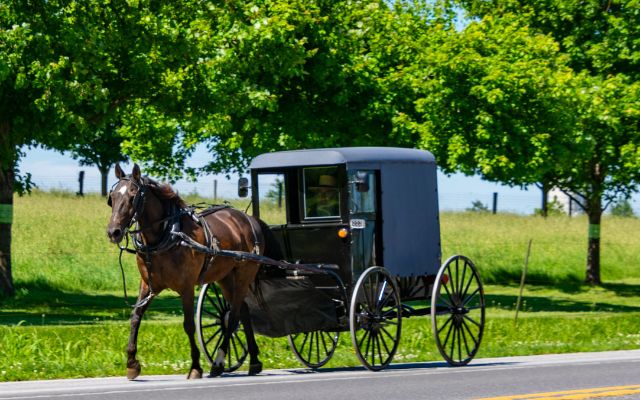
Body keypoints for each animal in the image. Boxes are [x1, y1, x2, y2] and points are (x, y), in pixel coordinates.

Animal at [106, 164, 266, 380]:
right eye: (112, 197)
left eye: (133, 196)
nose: (113, 232)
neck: (168, 234)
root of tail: (248, 219)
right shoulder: (148, 285)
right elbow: (136, 316)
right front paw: (132, 363)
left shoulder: (187, 287)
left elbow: (189, 324)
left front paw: (196, 367)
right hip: (225, 278)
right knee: (243, 312)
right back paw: (254, 361)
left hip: (244, 274)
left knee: (233, 317)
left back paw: (218, 362)